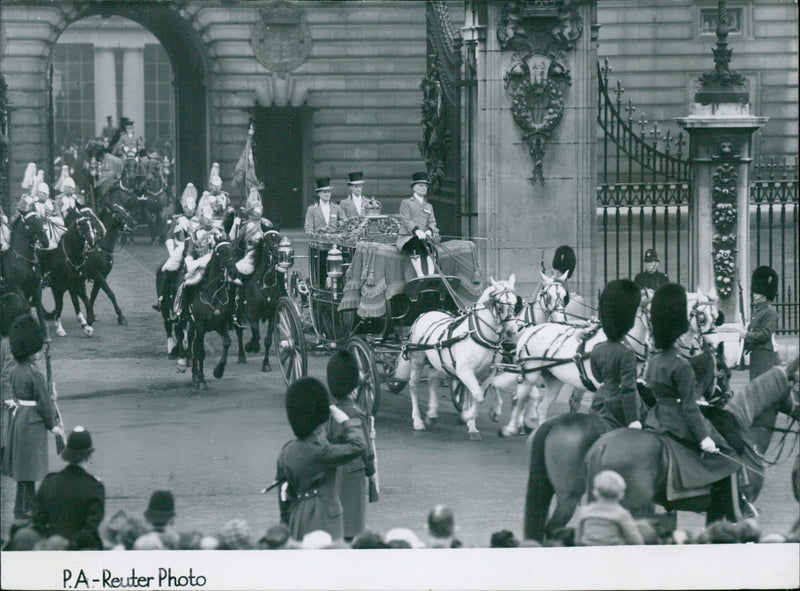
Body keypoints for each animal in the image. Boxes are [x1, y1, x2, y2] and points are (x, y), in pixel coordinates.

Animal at [398, 276, 520, 440]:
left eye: (515, 302)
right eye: (499, 304)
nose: (512, 331)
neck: (480, 335)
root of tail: (425, 314)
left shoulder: (487, 373)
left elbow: (477, 396)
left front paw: (473, 424)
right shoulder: (464, 371)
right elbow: (478, 396)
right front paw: (467, 417)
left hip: (440, 363)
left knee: (433, 380)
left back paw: (432, 414)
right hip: (418, 359)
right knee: (413, 385)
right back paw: (417, 420)